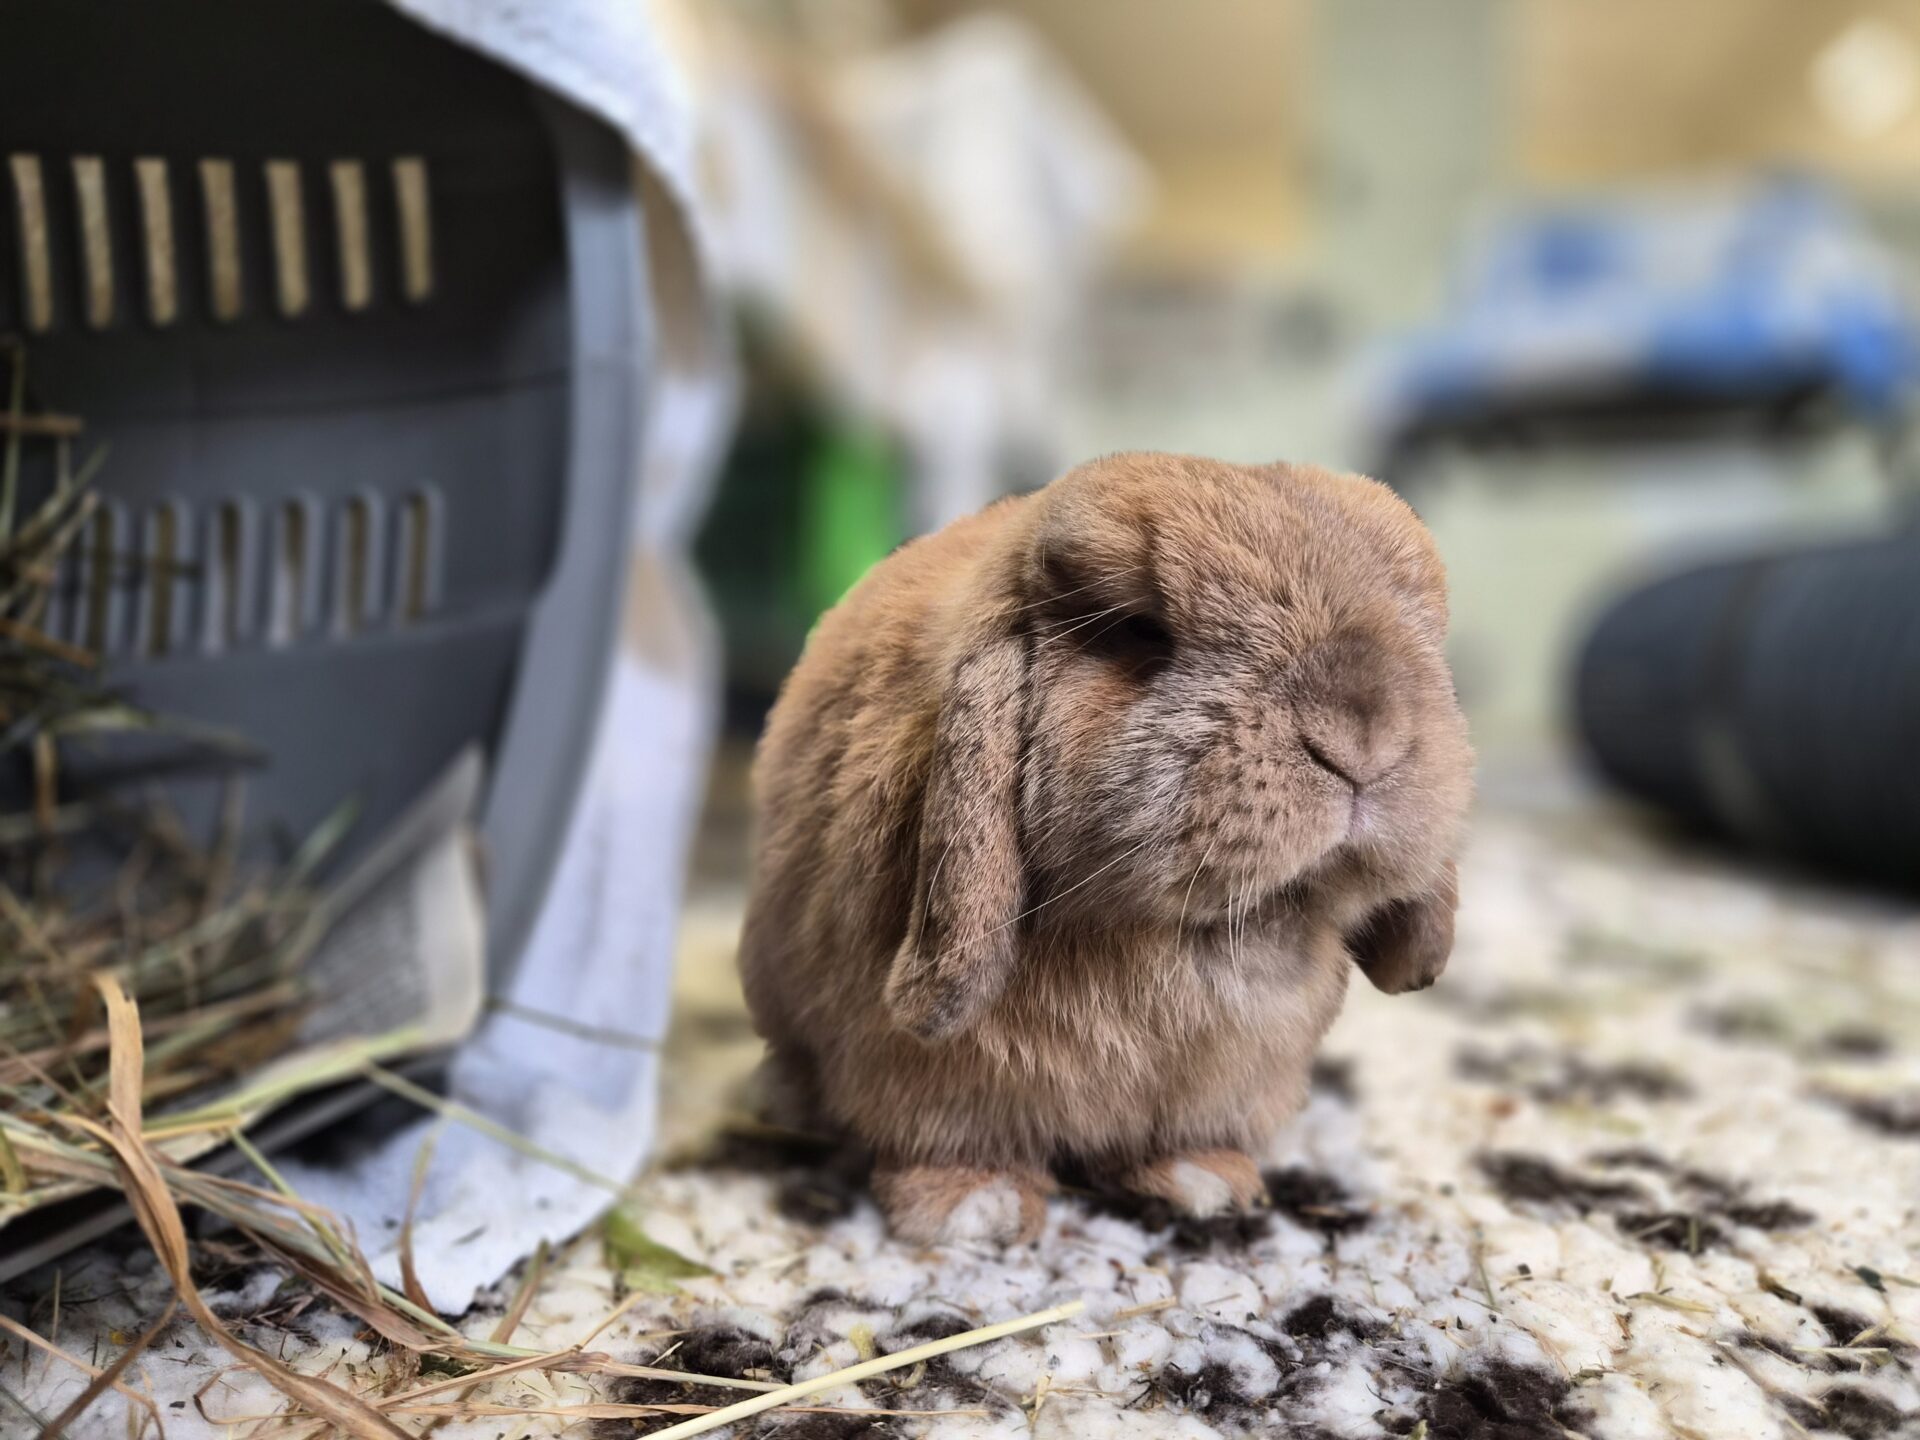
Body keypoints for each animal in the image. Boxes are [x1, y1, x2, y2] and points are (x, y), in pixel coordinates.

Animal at [738, 453, 1472, 1244]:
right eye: (1142, 631)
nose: (1362, 735)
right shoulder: (918, 1075)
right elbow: (947, 1137)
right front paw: (978, 1206)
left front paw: (1204, 1182)